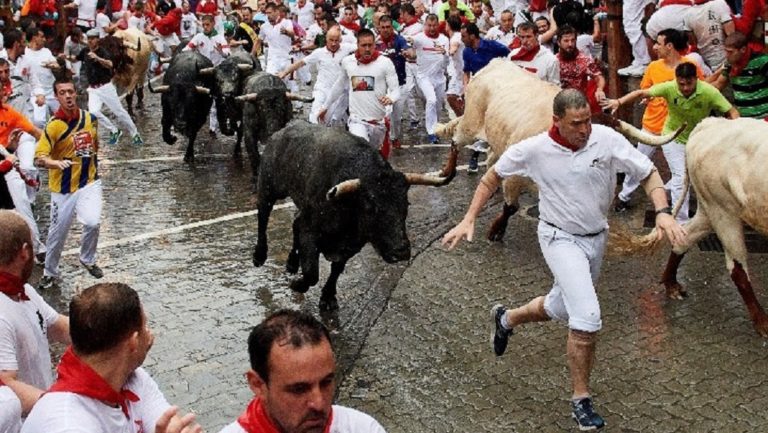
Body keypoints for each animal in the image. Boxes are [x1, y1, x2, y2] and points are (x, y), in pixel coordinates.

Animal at [252, 120, 460, 310]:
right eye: (370, 207)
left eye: (405, 204)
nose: (400, 251)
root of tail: (280, 132)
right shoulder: (309, 231)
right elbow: (312, 273)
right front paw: (297, 284)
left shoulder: (351, 245)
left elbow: (336, 270)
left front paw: (328, 297)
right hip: (269, 188)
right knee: (263, 216)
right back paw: (259, 256)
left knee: (294, 222)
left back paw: (291, 264)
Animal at [438, 58, 680, 240]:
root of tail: (496, 63)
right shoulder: (516, 176)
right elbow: (511, 207)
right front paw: (496, 231)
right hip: (471, 122)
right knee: (456, 141)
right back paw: (447, 172)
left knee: (489, 158)